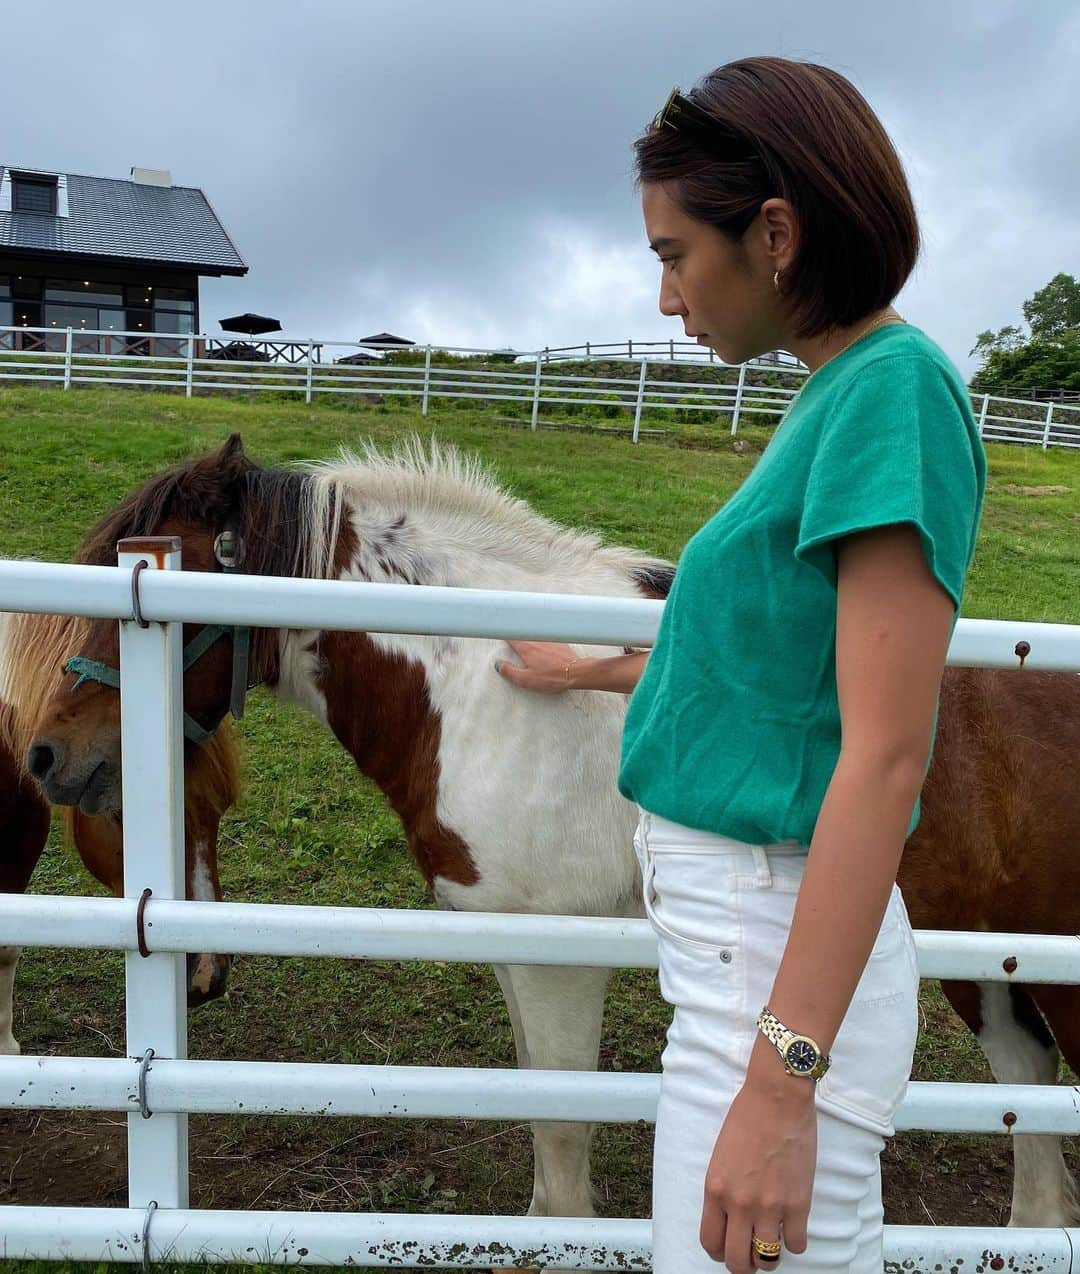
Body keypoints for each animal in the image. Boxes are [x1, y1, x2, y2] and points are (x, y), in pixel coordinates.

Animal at [21, 433, 1080, 1238]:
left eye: (152, 581)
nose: (46, 755)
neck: (483, 682)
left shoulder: (561, 955)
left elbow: (567, 1129)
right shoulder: (513, 942)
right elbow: (538, 1107)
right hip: (984, 956)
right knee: (1026, 1087)